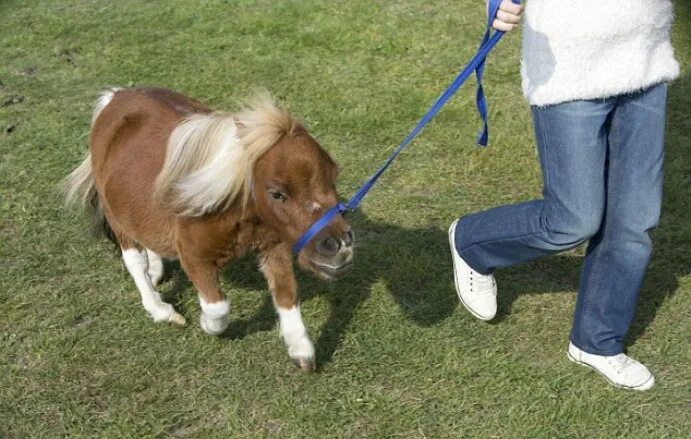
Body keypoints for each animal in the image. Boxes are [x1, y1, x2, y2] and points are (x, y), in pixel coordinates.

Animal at [64, 88, 354, 372]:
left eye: (333, 179)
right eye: (277, 194)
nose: (339, 246)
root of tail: (114, 96)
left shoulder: (274, 245)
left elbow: (286, 293)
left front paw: (301, 350)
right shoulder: (194, 258)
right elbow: (218, 307)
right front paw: (206, 324)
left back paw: (155, 270)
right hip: (116, 216)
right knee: (134, 261)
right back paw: (161, 310)